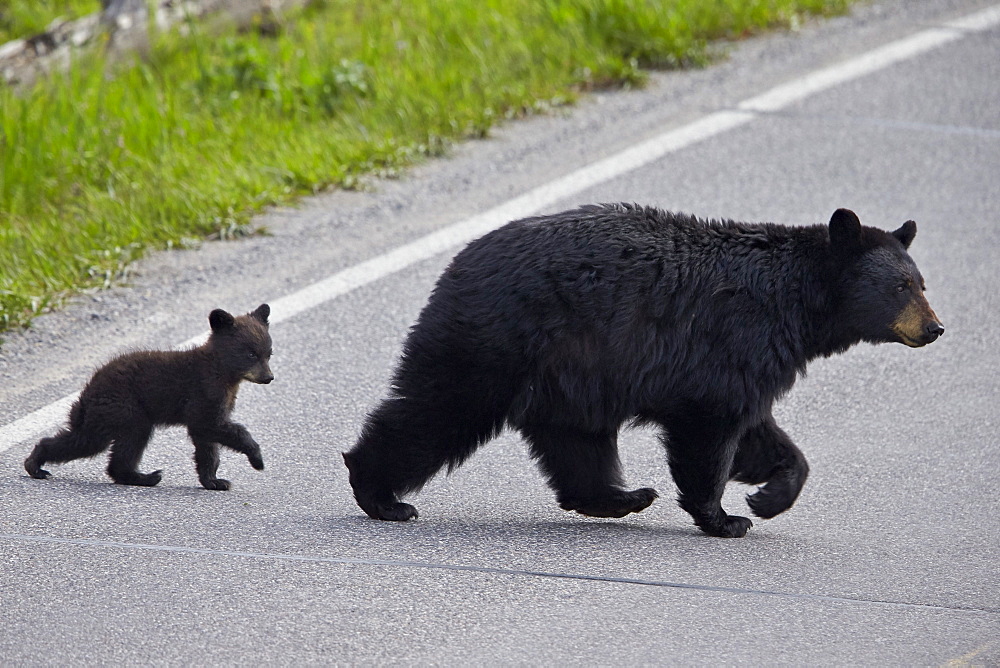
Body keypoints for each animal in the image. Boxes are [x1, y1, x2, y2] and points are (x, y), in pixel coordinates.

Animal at [24, 304, 274, 490]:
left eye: (269, 353)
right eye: (250, 354)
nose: (269, 377)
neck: (223, 372)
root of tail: (88, 391)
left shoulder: (214, 401)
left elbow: (206, 442)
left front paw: (214, 480)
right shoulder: (204, 392)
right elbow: (212, 426)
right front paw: (257, 458)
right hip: (123, 407)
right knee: (103, 440)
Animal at [342, 205, 936, 536]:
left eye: (921, 282)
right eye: (900, 286)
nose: (935, 327)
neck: (791, 300)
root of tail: (456, 264)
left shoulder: (749, 362)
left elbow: (759, 432)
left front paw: (769, 495)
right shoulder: (728, 344)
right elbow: (711, 433)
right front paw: (725, 518)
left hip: (569, 376)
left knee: (575, 442)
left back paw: (623, 497)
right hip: (497, 343)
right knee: (437, 410)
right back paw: (381, 495)